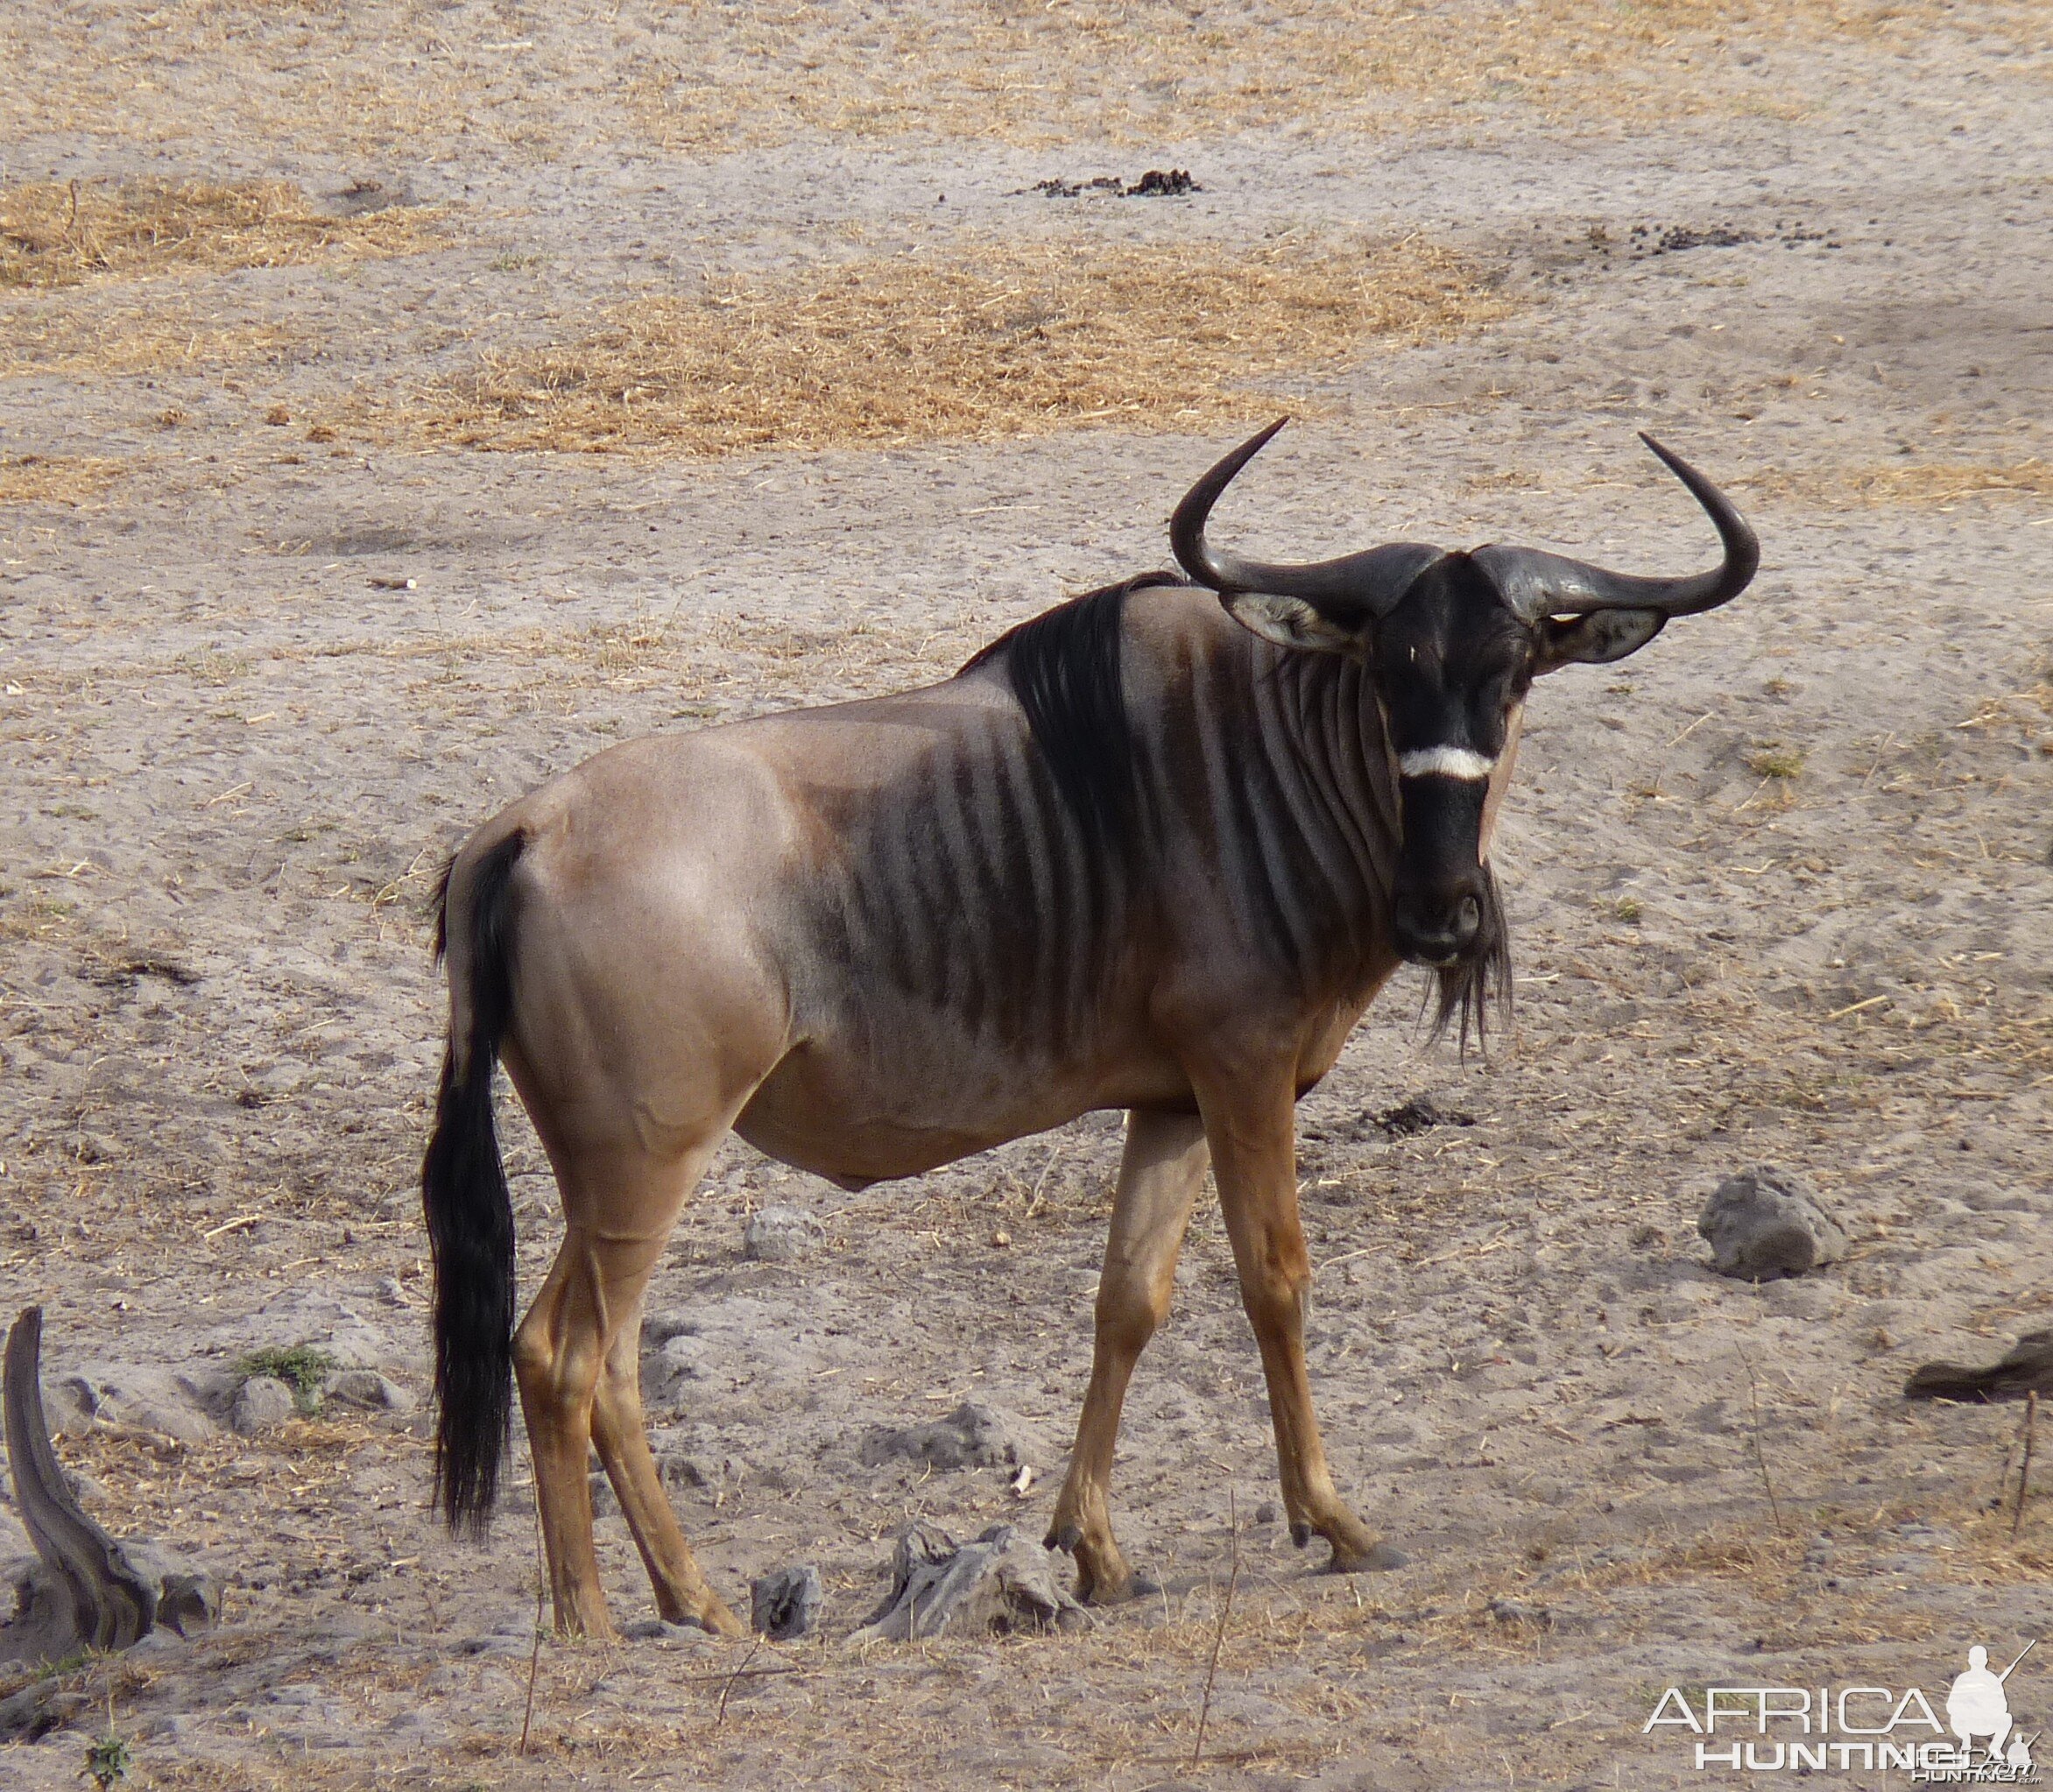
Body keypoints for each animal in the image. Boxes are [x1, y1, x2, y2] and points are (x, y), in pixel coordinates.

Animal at [422, 420, 1758, 1636]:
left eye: (1515, 672)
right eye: (1390, 669)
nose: (1442, 913)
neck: (1269, 744)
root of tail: (523, 830)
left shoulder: (1170, 1100)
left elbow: (1130, 1298)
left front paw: (1097, 1550)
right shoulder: (1246, 1071)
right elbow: (1275, 1278)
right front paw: (1334, 1521)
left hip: (605, 1172)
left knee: (554, 1354)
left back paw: (632, 1606)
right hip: (650, 1163)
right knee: (585, 1357)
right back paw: (644, 1610)